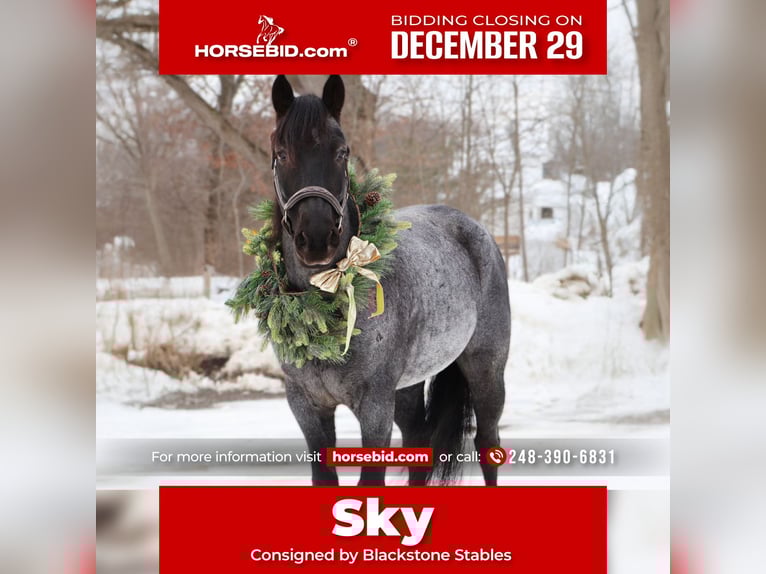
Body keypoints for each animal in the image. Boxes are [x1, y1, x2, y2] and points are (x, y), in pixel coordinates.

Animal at [267, 75, 510, 486]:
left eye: (342, 152)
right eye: (281, 153)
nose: (315, 239)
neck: (323, 308)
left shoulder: (374, 405)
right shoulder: (306, 404)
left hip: (486, 370)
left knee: (487, 443)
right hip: (408, 388)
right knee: (418, 444)